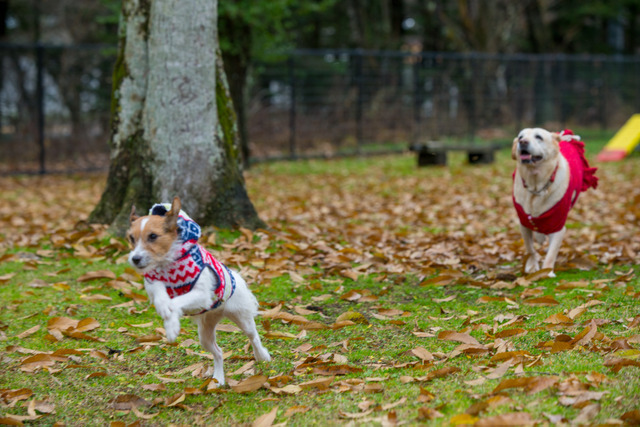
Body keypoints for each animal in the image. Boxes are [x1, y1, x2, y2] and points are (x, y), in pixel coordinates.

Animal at [127, 197, 270, 384]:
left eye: (153, 236)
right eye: (131, 238)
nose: (135, 259)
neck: (169, 266)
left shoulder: (202, 295)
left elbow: (175, 302)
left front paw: (171, 323)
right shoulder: (153, 281)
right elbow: (160, 294)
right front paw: (167, 315)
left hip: (241, 316)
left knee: (253, 336)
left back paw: (261, 355)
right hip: (205, 335)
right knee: (218, 352)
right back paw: (218, 379)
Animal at [512, 129, 596, 280]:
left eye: (538, 137)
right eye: (521, 136)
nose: (522, 142)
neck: (536, 186)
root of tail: (563, 136)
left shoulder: (558, 227)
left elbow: (551, 253)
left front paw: (546, 271)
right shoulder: (524, 223)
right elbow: (530, 248)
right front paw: (532, 267)